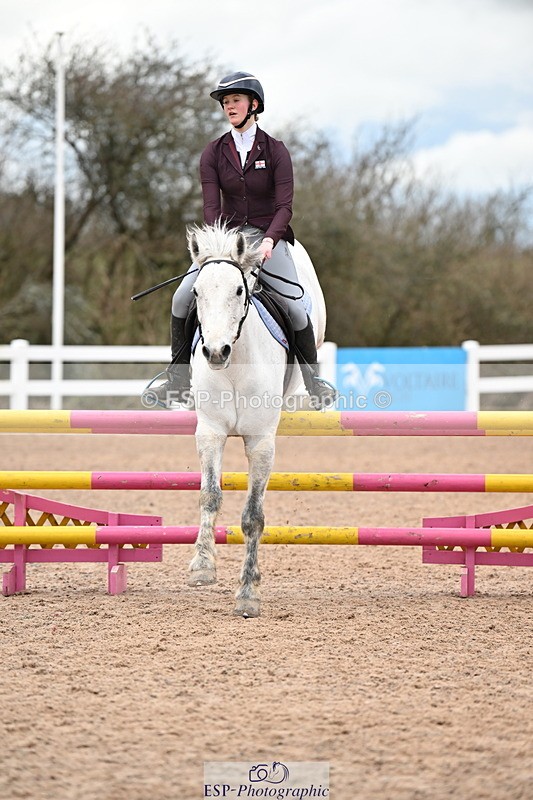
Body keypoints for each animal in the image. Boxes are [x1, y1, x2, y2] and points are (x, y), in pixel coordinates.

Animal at [186, 222, 327, 617]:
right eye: (197, 292)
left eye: (238, 290)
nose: (215, 352)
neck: (234, 366)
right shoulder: (211, 433)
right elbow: (210, 496)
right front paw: (203, 566)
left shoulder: (261, 441)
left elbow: (253, 517)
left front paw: (248, 593)